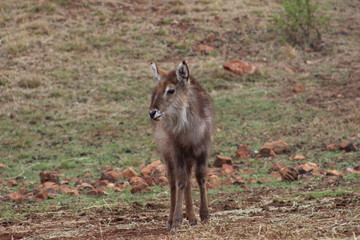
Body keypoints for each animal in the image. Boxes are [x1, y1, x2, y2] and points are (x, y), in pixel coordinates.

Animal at [148, 61, 214, 228]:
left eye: (171, 90)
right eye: (156, 90)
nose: (152, 112)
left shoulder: (203, 148)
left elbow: (201, 178)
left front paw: (204, 215)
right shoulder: (176, 151)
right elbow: (181, 182)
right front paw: (177, 220)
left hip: (189, 157)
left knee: (189, 179)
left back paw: (192, 218)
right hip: (168, 155)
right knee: (173, 181)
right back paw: (171, 220)